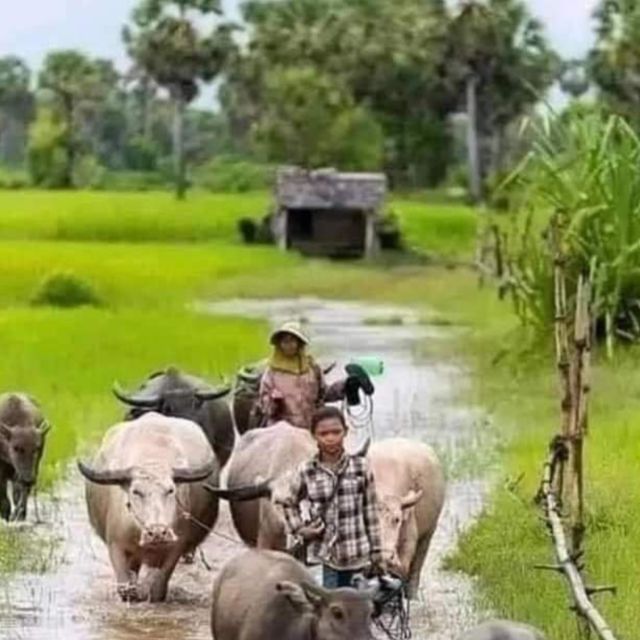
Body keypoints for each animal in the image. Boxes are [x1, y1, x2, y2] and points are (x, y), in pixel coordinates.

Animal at [0, 392, 50, 524]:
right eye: (16, 447)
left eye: (36, 448)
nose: (28, 480)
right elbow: (3, 498)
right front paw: (5, 515)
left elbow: (20, 495)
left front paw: (18, 515)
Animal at [78, 412, 219, 604]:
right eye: (136, 491)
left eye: (170, 490)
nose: (158, 533)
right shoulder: (116, 546)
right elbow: (125, 588)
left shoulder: (176, 547)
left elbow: (158, 587)